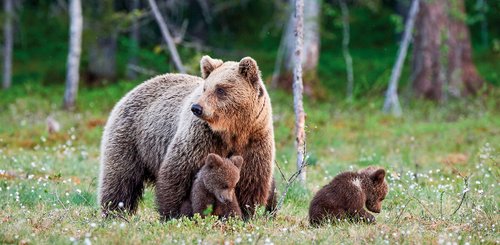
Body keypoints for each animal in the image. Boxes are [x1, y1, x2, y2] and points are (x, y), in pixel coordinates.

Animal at [97, 56, 276, 219]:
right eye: (205, 88)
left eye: (220, 89)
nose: (197, 108)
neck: (232, 131)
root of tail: (135, 88)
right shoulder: (202, 138)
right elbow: (178, 173)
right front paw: (174, 214)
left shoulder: (254, 141)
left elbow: (251, 180)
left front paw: (247, 213)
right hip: (132, 138)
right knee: (121, 178)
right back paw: (115, 211)